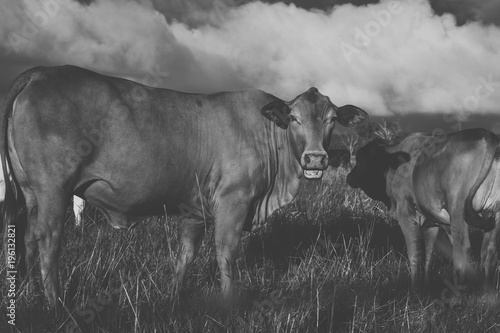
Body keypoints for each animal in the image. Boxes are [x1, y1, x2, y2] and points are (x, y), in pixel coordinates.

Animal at [0, 63, 368, 304]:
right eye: (294, 118)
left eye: (333, 119)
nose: (316, 159)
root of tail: (40, 72)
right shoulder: (234, 201)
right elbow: (225, 253)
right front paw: (229, 303)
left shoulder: (195, 208)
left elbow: (185, 255)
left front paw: (174, 297)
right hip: (54, 189)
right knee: (48, 240)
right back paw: (54, 303)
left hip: (31, 193)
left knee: (26, 237)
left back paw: (28, 293)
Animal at [348, 128, 500, 290]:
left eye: (360, 159)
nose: (349, 177)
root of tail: (487, 135)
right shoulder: (431, 222)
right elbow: (428, 255)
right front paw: (426, 285)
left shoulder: (405, 212)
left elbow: (415, 253)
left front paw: (415, 288)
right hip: (494, 214)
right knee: (490, 250)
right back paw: (486, 289)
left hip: (458, 211)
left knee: (463, 249)